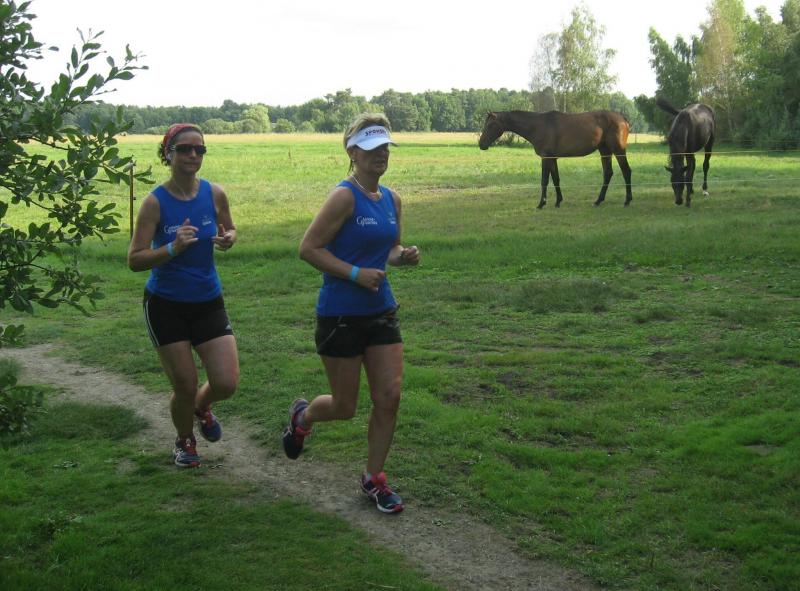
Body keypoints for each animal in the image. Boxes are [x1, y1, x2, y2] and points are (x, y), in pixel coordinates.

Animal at [478, 110, 633, 209]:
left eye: (491, 125)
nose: (481, 144)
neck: (538, 126)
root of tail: (622, 119)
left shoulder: (546, 157)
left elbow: (544, 181)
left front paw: (541, 203)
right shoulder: (552, 158)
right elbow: (556, 179)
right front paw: (558, 201)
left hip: (618, 150)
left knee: (626, 171)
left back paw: (627, 201)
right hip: (604, 150)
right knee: (608, 173)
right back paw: (598, 201)